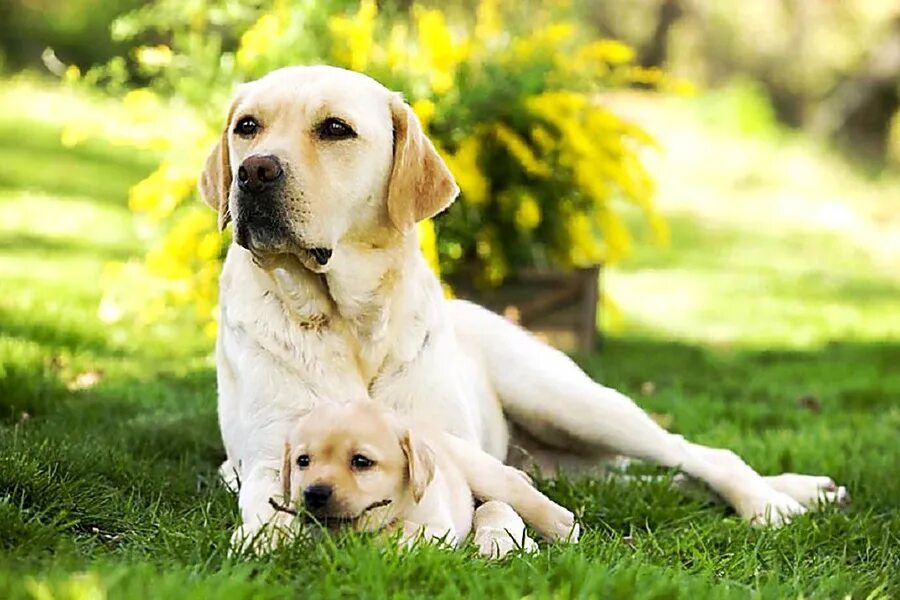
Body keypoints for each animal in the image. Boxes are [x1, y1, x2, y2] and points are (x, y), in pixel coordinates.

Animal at [270, 400, 576, 560]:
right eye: (302, 461)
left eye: (361, 461)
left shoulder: (437, 527)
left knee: (518, 493)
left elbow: (395, 532)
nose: (314, 493)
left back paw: (563, 526)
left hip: (483, 472)